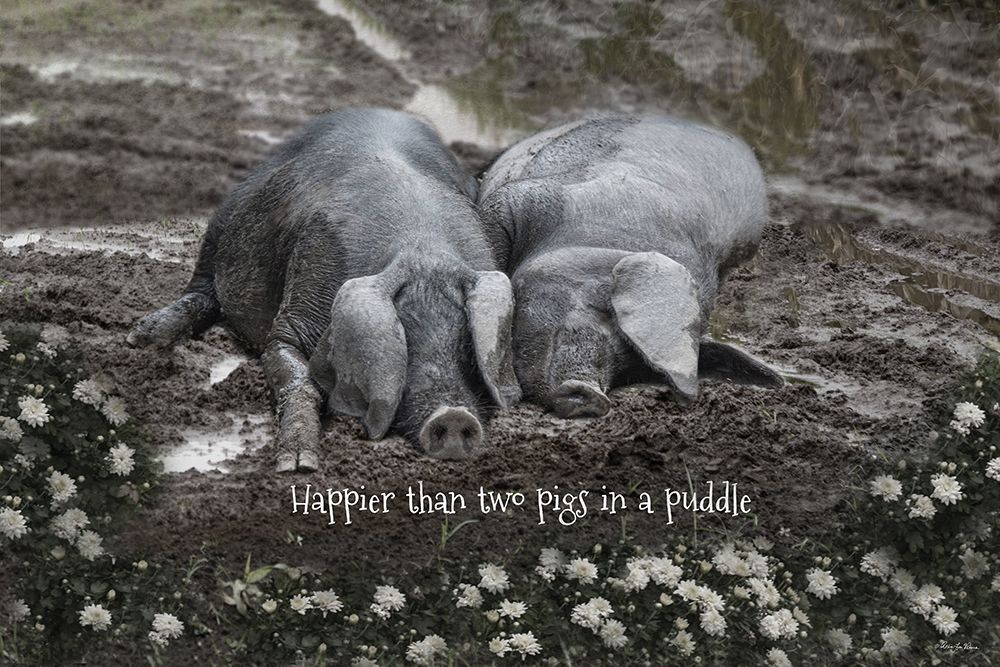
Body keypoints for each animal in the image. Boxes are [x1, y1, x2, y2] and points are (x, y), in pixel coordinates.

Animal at [127, 108, 520, 471]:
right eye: (406, 343)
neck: (420, 247)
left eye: (466, 346)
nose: (454, 416)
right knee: (202, 286)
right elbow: (298, 379)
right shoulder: (293, 316)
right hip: (224, 219)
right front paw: (298, 465)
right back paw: (142, 337)